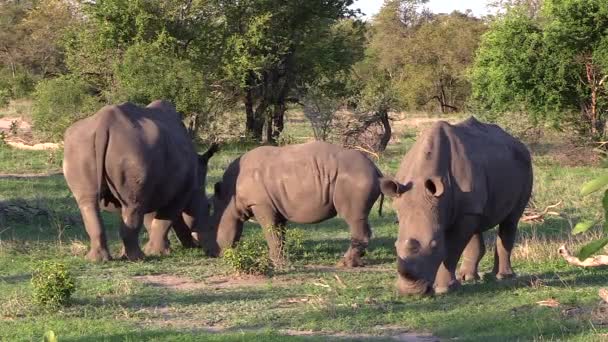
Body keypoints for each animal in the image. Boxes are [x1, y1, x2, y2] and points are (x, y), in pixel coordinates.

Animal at [63, 99, 218, 262]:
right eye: (208, 206)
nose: (199, 243)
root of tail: (103, 124)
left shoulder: (157, 186)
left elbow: (152, 220)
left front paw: (158, 249)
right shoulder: (181, 191)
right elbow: (166, 219)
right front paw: (160, 252)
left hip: (80, 146)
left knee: (89, 202)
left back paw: (97, 259)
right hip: (133, 149)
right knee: (134, 205)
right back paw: (138, 258)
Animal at [207, 142, 382, 268]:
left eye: (212, 227)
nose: (212, 253)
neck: (230, 197)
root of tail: (376, 170)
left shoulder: (261, 204)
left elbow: (271, 231)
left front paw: (276, 263)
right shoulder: (277, 204)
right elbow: (279, 233)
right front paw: (282, 258)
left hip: (355, 179)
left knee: (353, 217)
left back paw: (344, 264)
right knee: (359, 217)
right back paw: (357, 261)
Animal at [380, 117, 532, 294]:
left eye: (434, 245)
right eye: (395, 246)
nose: (410, 292)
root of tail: (516, 141)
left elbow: (451, 250)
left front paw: (444, 289)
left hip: (525, 164)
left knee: (511, 220)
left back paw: (502, 277)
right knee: (476, 223)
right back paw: (469, 277)